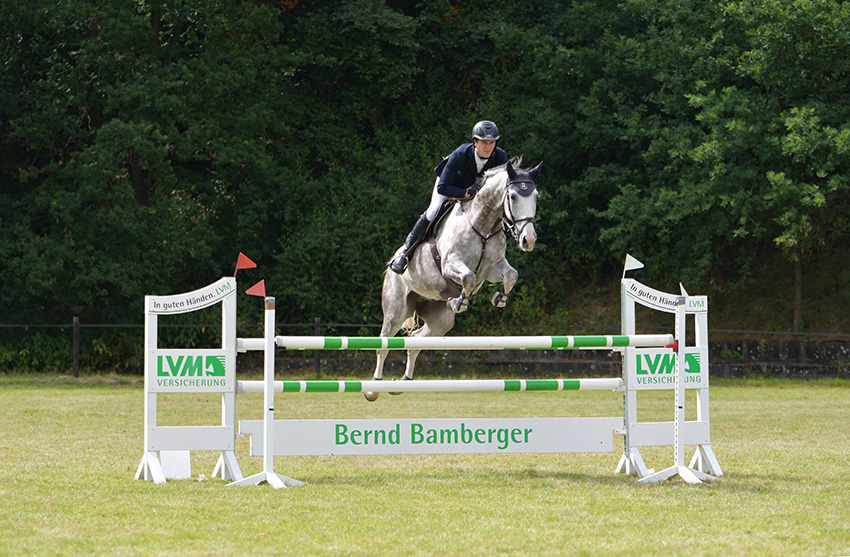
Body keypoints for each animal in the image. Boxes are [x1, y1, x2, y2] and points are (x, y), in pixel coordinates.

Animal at [366, 159, 544, 402]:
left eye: (535, 196)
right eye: (513, 197)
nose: (529, 240)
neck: (483, 225)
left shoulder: (492, 269)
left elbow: (511, 275)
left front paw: (498, 298)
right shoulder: (451, 264)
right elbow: (468, 277)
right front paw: (461, 302)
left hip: (439, 321)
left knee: (415, 342)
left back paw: (404, 382)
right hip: (396, 310)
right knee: (383, 344)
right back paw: (374, 388)